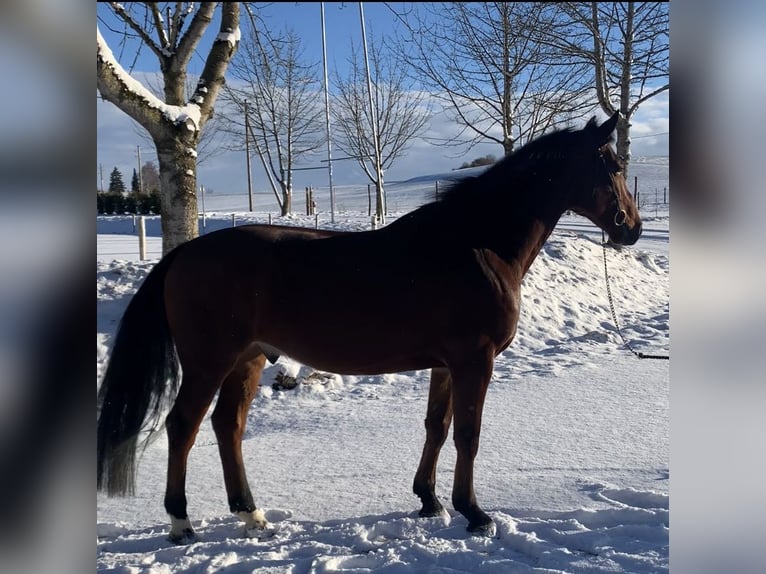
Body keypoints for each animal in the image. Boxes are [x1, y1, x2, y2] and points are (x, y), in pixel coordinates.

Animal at [97, 112, 641, 542]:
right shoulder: (475, 360)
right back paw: (180, 522)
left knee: (227, 425)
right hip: (209, 362)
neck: (477, 246)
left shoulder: (446, 365)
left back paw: (251, 515)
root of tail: (185, 253)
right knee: (183, 426)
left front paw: (428, 500)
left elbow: (437, 426)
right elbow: (468, 433)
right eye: (613, 167)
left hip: (246, 360)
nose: (631, 228)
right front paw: (474, 512)